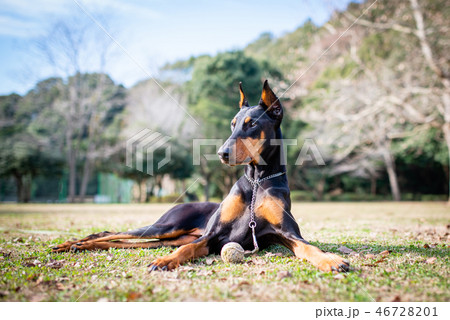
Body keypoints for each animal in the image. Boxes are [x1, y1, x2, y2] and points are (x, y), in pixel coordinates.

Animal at [51, 80, 350, 272]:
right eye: (232, 124)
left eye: (251, 124)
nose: (222, 153)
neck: (257, 181)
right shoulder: (211, 236)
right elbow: (184, 252)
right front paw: (165, 262)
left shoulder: (286, 233)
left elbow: (310, 248)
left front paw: (331, 260)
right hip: (169, 226)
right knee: (113, 233)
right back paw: (72, 243)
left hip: (174, 235)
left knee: (132, 242)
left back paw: (77, 246)